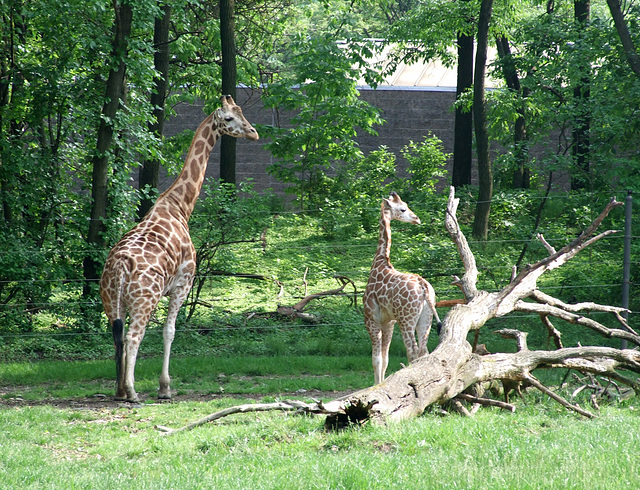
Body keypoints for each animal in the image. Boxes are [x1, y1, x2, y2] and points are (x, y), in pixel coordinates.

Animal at [100, 94, 260, 402]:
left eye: (242, 113)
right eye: (230, 118)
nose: (254, 133)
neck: (180, 206)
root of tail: (120, 265)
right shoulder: (183, 284)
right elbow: (170, 331)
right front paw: (165, 387)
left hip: (111, 301)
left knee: (117, 336)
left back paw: (119, 390)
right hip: (145, 299)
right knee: (134, 336)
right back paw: (133, 392)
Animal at [362, 192, 442, 386]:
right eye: (403, 208)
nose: (417, 219)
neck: (380, 262)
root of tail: (423, 287)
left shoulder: (371, 319)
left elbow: (376, 359)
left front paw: (376, 386)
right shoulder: (388, 322)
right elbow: (385, 358)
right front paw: (381, 384)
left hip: (406, 320)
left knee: (412, 350)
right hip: (426, 318)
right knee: (423, 350)